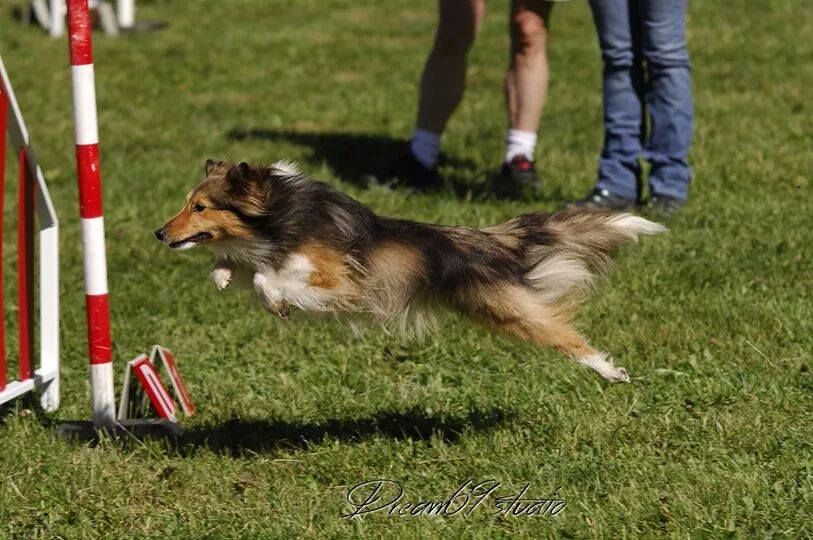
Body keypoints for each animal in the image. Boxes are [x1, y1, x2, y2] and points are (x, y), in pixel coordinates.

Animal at [155, 160, 664, 384]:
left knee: (567, 335)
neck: (282, 212)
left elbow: (270, 278)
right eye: (186, 203)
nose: (160, 233)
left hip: (509, 309)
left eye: (200, 207)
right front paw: (225, 273)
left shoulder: (342, 281)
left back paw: (611, 371)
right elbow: (243, 267)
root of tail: (487, 240)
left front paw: (275, 299)